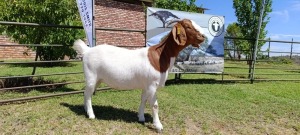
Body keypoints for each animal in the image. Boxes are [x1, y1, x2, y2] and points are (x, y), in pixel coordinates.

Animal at [72, 18, 206, 131]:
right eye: (188, 26)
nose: (203, 36)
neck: (159, 56)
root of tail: (87, 50)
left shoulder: (146, 85)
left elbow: (143, 100)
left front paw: (141, 117)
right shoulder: (152, 84)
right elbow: (154, 105)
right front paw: (158, 126)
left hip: (98, 79)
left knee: (86, 93)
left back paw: (86, 109)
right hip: (91, 76)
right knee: (88, 93)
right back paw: (91, 115)